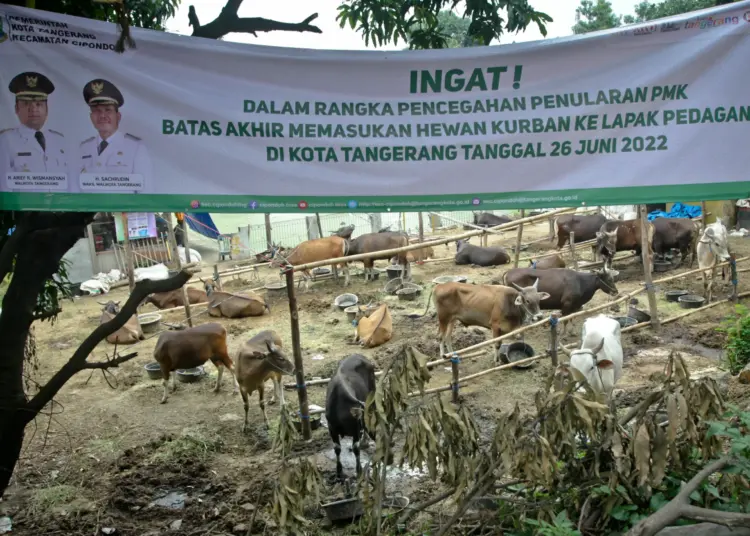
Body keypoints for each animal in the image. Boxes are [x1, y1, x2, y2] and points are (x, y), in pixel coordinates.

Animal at [424, 280, 552, 364]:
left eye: (538, 300)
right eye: (527, 300)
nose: (539, 316)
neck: (510, 303)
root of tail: (439, 286)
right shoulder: (494, 325)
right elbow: (497, 344)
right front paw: (496, 360)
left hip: (452, 320)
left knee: (447, 337)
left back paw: (453, 355)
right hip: (443, 319)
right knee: (440, 337)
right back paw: (443, 356)